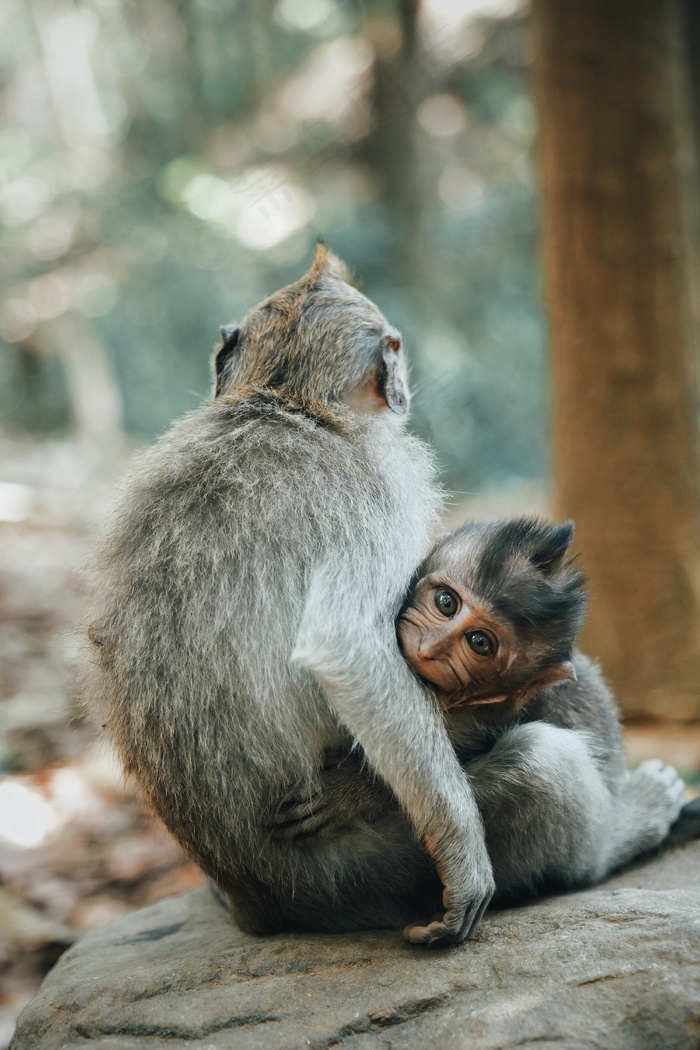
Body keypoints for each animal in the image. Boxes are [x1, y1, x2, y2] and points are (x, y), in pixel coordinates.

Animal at [85, 245, 493, 944]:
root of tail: (257, 901)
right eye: (394, 351)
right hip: (356, 874)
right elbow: (347, 650)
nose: (404, 388)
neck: (289, 398)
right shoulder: (378, 487)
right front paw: (462, 856)